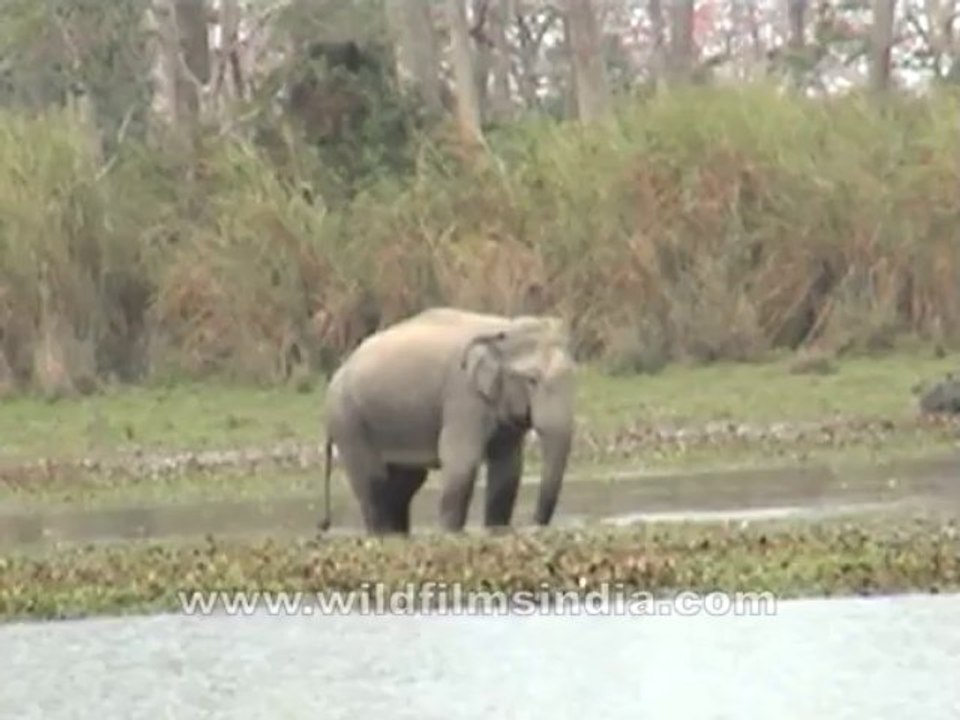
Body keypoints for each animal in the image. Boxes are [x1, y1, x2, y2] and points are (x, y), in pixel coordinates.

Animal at [318, 307, 576, 536]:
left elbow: (508, 467)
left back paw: (398, 534)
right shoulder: (462, 395)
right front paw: (450, 532)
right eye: (532, 380)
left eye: (572, 375)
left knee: (405, 482)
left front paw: (498, 530)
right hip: (347, 419)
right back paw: (381, 534)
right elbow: (461, 459)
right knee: (373, 479)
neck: (503, 328)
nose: (534, 525)